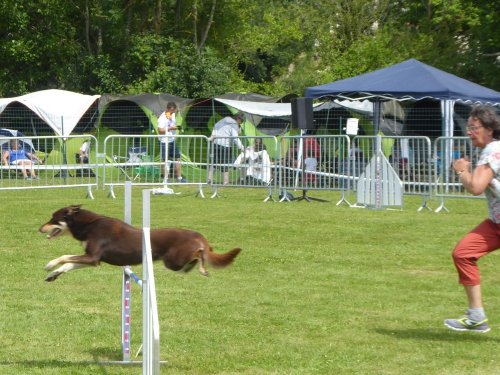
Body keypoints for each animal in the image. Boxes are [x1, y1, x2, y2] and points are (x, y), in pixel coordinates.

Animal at [39, 206, 242, 282]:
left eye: (53, 218)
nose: (40, 228)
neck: (90, 224)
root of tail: (199, 237)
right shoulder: (94, 260)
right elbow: (69, 265)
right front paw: (54, 274)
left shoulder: (92, 257)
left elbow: (65, 257)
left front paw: (50, 264)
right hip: (177, 263)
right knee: (195, 261)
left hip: (173, 261)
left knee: (200, 255)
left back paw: (202, 268)